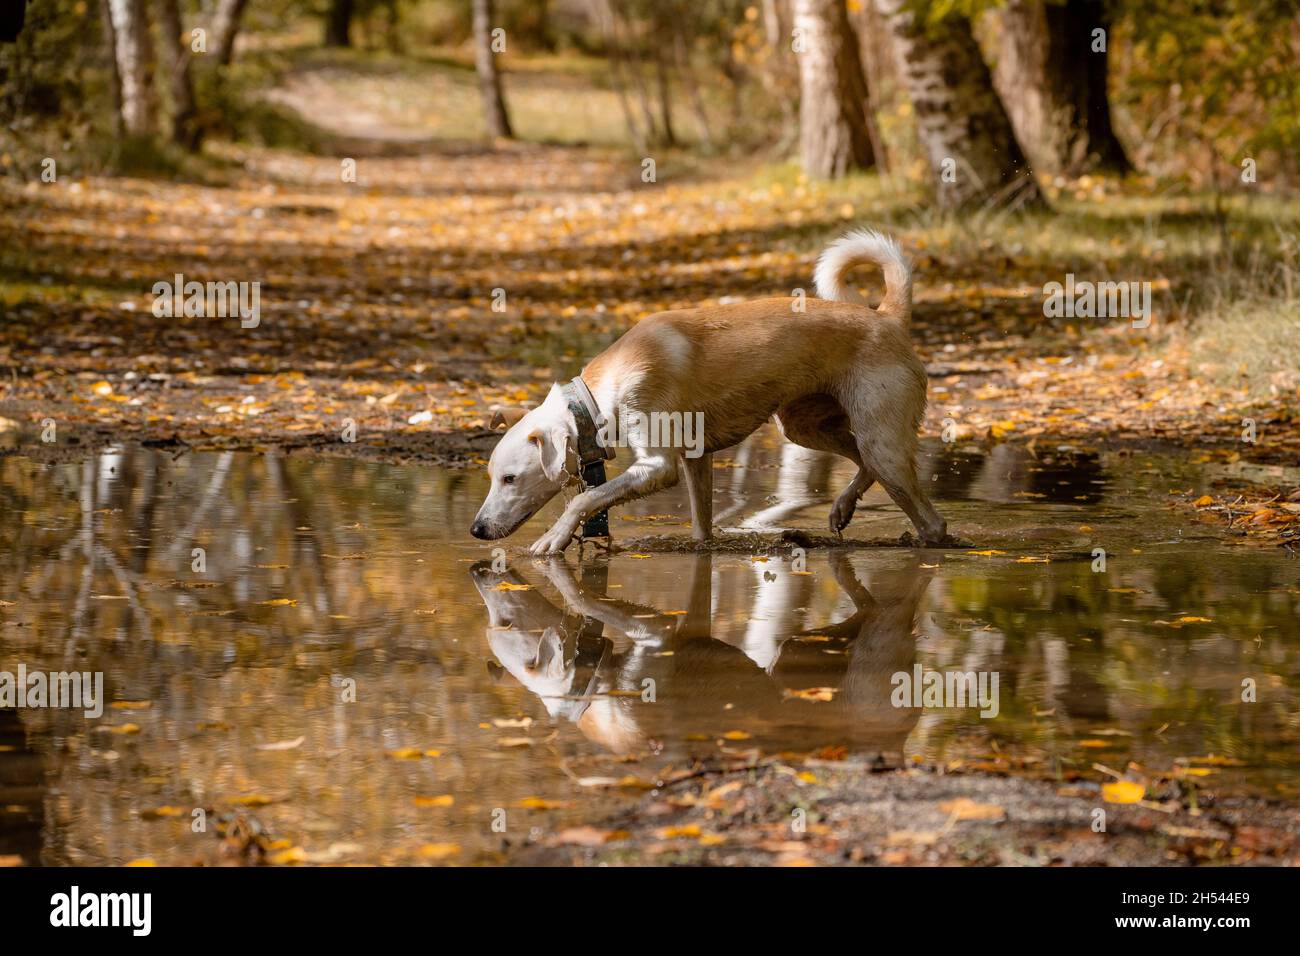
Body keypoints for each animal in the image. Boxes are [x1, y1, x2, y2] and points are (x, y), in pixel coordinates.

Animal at [473, 230, 951, 554]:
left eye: (510, 478)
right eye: (492, 477)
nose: (476, 530)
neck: (599, 393)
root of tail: (887, 317)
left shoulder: (659, 466)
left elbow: (584, 499)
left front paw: (554, 538)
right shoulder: (695, 459)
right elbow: (701, 528)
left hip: (883, 442)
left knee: (932, 523)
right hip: (805, 427)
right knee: (862, 463)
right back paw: (841, 509)